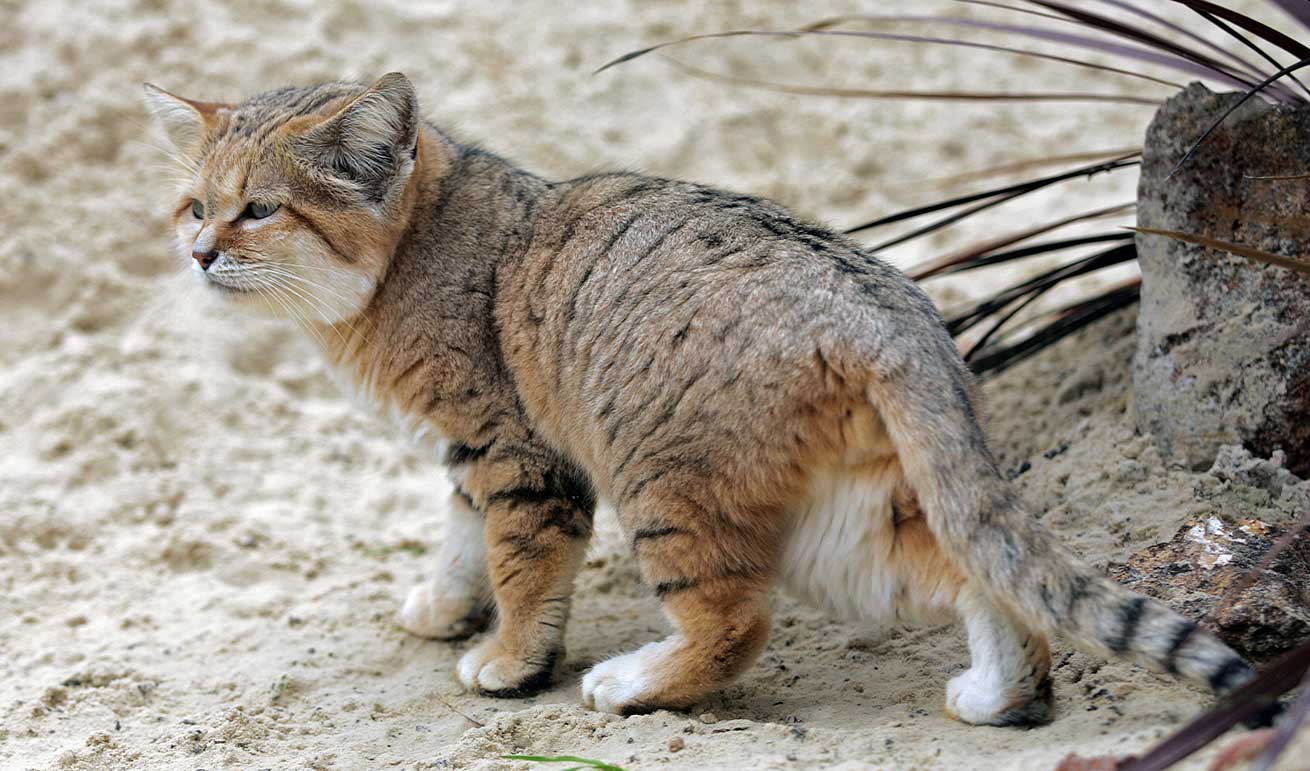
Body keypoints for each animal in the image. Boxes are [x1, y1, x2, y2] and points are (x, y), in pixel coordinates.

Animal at [143, 70, 1257, 722]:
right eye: (194, 207)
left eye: (258, 211)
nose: (197, 254)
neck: (414, 251)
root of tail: (881, 303)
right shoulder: (469, 453)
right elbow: (462, 539)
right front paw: (450, 608)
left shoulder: (519, 455)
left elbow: (518, 563)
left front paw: (510, 658)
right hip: (845, 521)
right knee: (975, 575)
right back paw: (1003, 694)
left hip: (663, 483)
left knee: (733, 622)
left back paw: (636, 681)